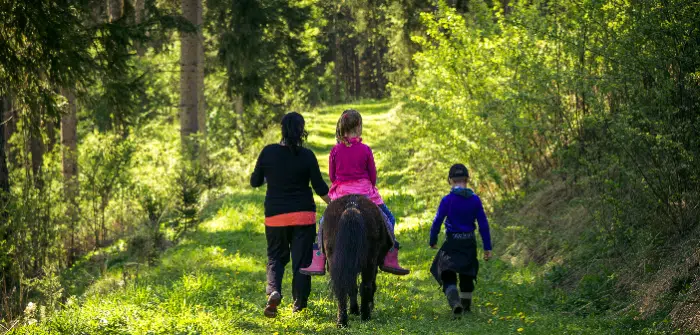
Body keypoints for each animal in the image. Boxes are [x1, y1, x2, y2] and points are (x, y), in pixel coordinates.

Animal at [322, 194, 394, 328]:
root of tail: (352, 207)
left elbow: (351, 287)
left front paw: (354, 310)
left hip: (335, 260)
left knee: (342, 288)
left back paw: (342, 321)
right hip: (370, 262)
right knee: (366, 286)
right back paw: (365, 316)